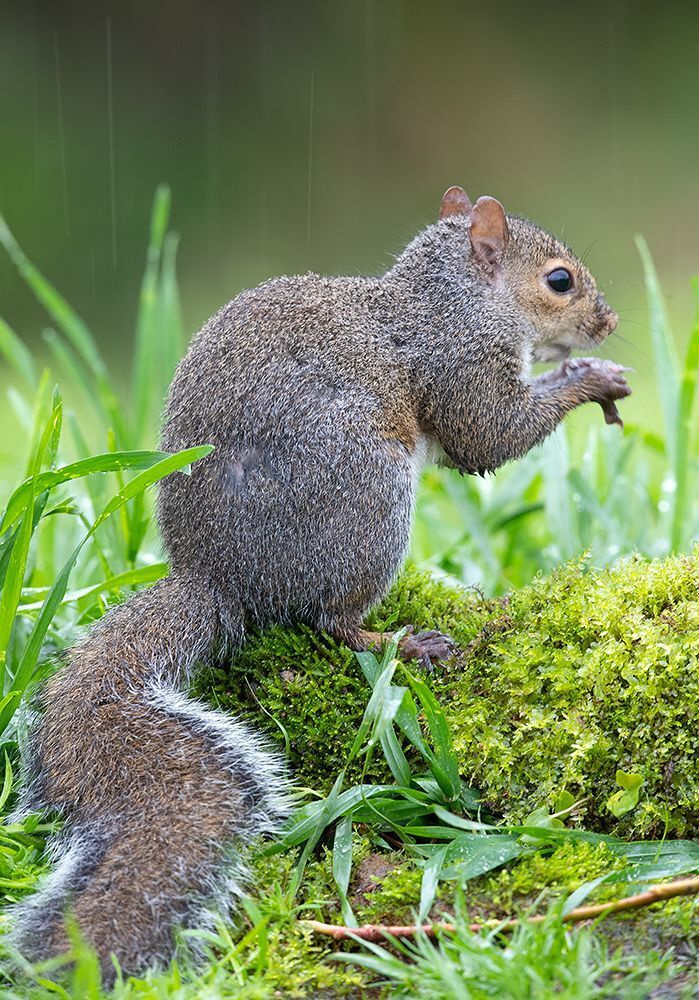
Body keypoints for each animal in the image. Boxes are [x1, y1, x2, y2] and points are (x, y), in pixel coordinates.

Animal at [11, 187, 630, 980]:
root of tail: (218, 582)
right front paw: (591, 377)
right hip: (368, 500)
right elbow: (487, 435)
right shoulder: (456, 362)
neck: (452, 297)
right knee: (330, 622)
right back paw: (400, 641)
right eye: (559, 281)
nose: (606, 321)